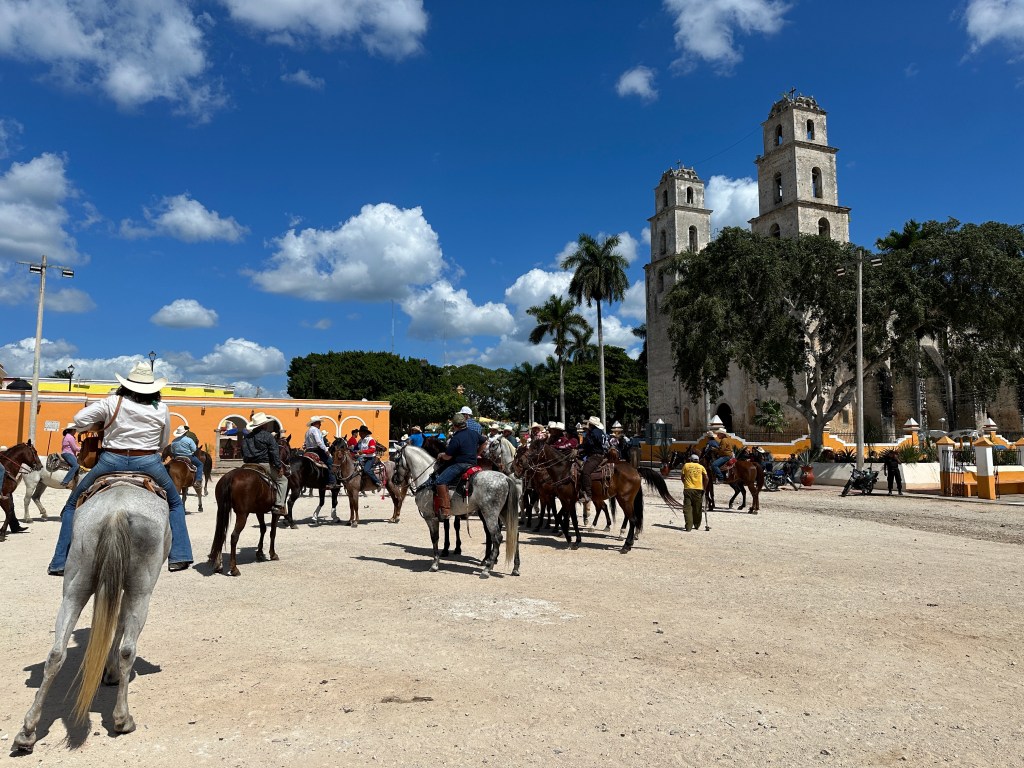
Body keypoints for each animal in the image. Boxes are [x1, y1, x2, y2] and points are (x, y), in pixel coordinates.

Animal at [13, 483, 170, 752]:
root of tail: (117, 511)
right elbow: (118, 623)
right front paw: (110, 671)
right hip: (142, 588)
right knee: (128, 650)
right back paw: (122, 719)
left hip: (76, 584)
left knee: (56, 653)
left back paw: (27, 731)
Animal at [401, 445, 520, 576]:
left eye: (396, 458)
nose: (395, 479)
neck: (427, 478)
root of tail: (505, 478)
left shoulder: (430, 517)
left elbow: (435, 538)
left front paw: (435, 563)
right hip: (503, 513)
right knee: (514, 533)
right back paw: (514, 567)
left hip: (490, 514)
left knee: (497, 536)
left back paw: (487, 568)